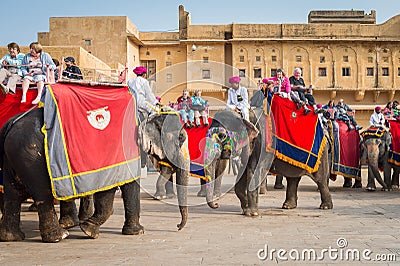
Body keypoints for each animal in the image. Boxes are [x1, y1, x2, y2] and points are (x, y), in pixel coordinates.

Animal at [0, 108, 145, 243]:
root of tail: (10, 125)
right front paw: (89, 230)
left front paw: (85, 227)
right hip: (32, 158)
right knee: (42, 193)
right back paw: (59, 236)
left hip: (14, 156)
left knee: (12, 194)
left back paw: (12, 237)